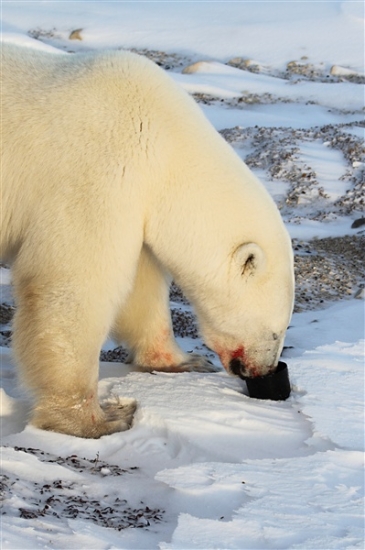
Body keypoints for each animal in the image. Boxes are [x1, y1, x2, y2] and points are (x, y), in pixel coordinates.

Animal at [0, 44, 292, 440]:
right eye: (276, 331)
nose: (264, 371)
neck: (165, 141)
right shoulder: (97, 172)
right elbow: (73, 285)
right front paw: (96, 419)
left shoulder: (137, 199)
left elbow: (141, 287)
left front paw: (184, 361)